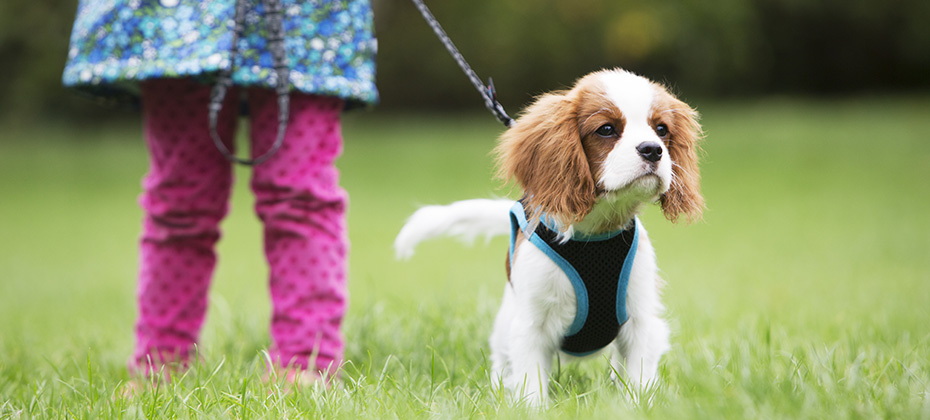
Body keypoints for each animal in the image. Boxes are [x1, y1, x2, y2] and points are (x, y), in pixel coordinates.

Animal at [394, 69, 704, 406]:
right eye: (606, 130)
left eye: (661, 130)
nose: (653, 149)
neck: (595, 233)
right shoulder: (530, 326)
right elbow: (531, 385)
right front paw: (532, 407)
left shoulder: (641, 321)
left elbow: (638, 379)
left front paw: (636, 406)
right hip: (505, 327)